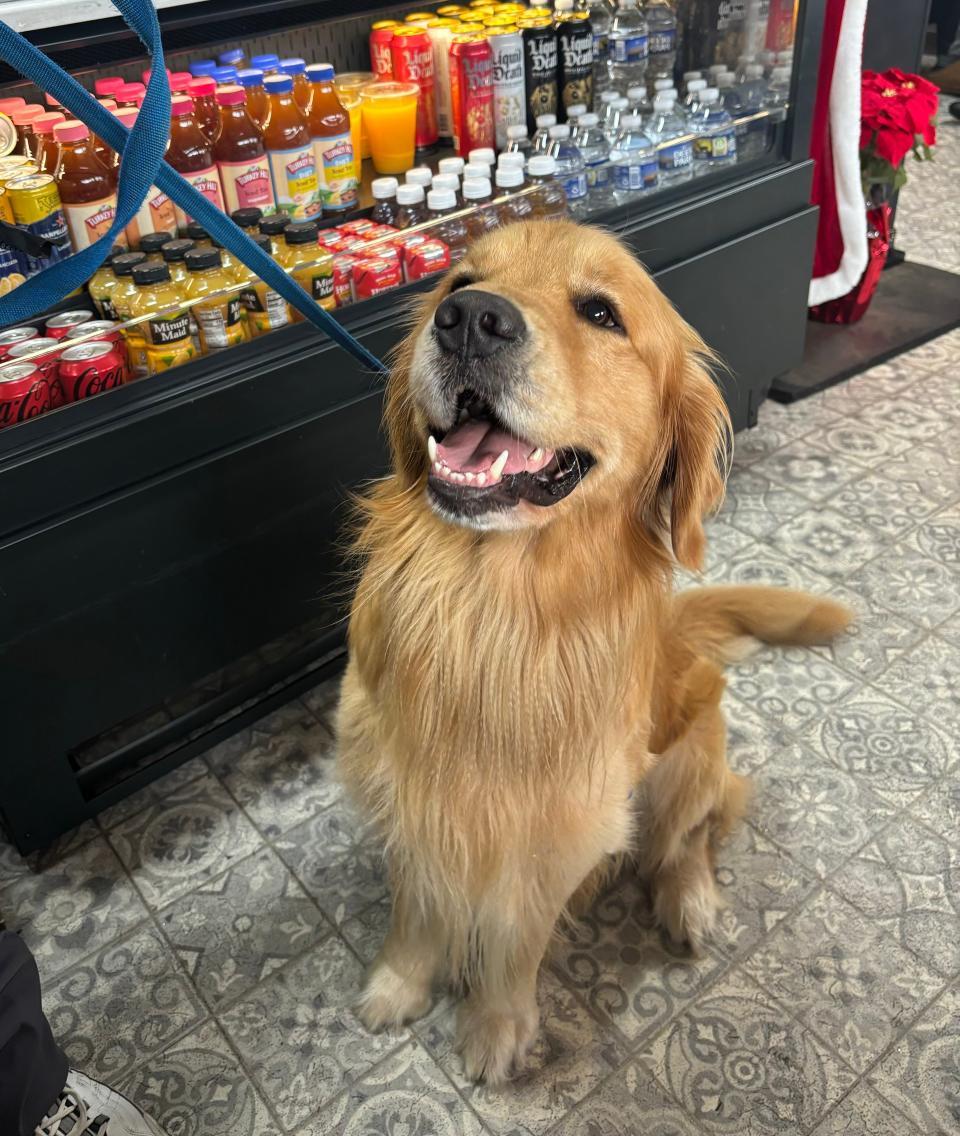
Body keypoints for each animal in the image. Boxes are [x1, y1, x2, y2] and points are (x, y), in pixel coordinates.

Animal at [336, 219, 845, 1081]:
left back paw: (689, 902)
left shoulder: (558, 835)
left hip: (688, 758)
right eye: (455, 283)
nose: (470, 321)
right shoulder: (408, 795)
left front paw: (496, 1027)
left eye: (602, 313)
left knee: (690, 838)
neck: (487, 616)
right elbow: (418, 905)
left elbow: (516, 941)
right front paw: (399, 982)